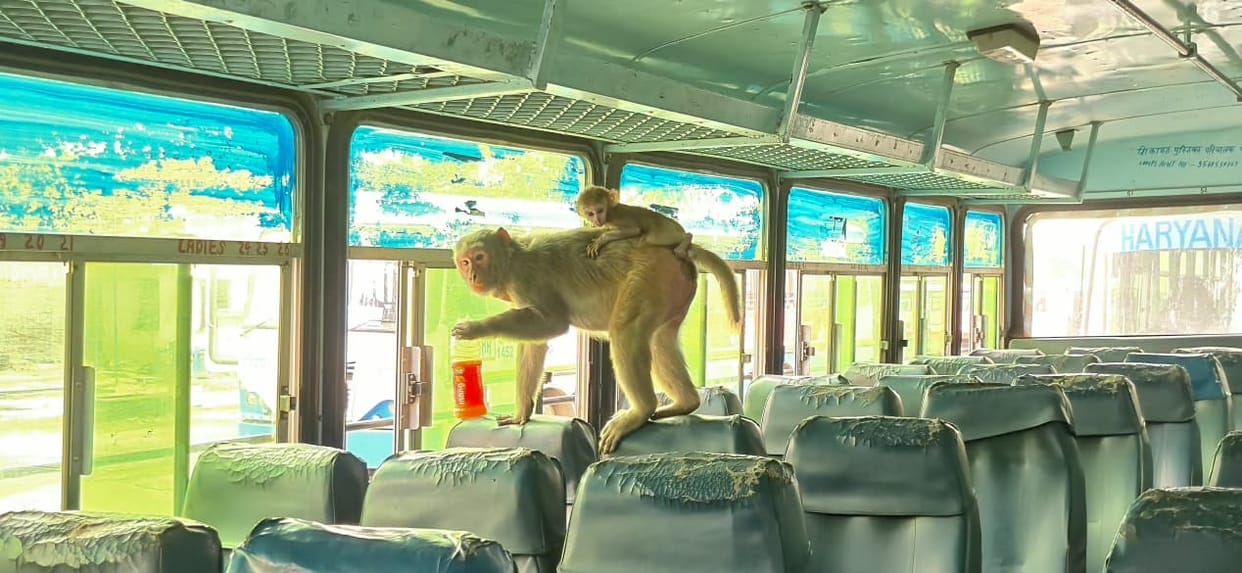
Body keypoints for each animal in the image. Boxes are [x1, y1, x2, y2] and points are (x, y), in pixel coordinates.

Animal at [450, 225, 741, 454]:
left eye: (480, 257)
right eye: (465, 262)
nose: (473, 275)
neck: (511, 261)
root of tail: (676, 249)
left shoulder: (526, 279)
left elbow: (553, 323)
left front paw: (474, 329)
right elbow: (536, 345)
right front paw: (522, 412)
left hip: (651, 275)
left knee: (624, 330)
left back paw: (642, 410)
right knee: (660, 340)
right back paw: (685, 402)